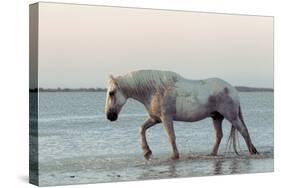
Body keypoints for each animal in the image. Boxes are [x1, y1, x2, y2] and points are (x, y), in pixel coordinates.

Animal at [104, 70, 258, 159]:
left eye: (111, 93)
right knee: (219, 135)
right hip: (217, 117)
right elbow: (141, 129)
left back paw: (251, 151)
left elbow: (171, 136)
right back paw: (212, 154)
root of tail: (233, 90)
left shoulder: (166, 118)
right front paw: (146, 151)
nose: (109, 116)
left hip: (231, 116)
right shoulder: (155, 119)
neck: (155, 90)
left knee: (243, 131)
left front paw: (174, 156)